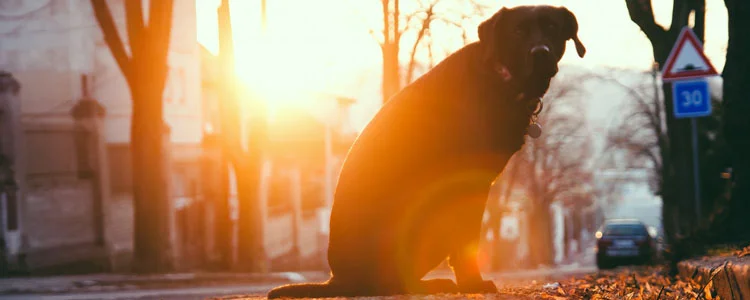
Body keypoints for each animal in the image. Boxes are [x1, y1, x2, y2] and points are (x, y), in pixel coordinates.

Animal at [270, 5, 588, 298]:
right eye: (518, 31)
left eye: (551, 27)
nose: (541, 53)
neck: (500, 78)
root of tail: (338, 280)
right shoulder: (467, 182)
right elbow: (467, 241)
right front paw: (472, 283)